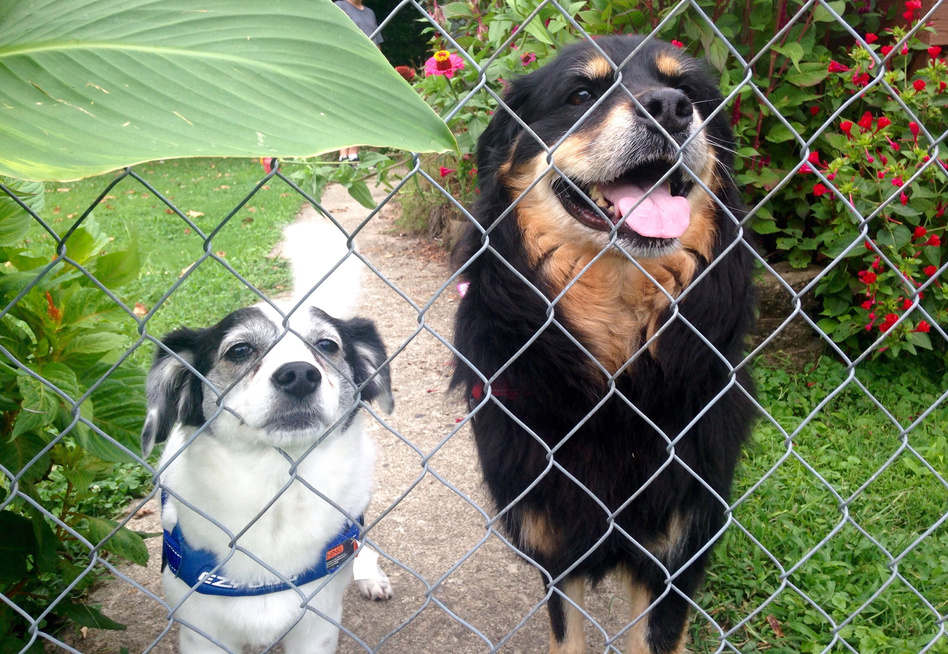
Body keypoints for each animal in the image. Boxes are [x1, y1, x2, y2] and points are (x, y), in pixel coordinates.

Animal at [140, 223, 392, 652]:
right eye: (239, 350)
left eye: (327, 345)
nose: (300, 375)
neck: (276, 489)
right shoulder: (200, 633)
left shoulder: (317, 629)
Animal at [452, 37, 756, 654]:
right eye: (581, 95)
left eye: (688, 92)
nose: (669, 109)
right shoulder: (555, 548)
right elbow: (565, 634)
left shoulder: (676, 554)